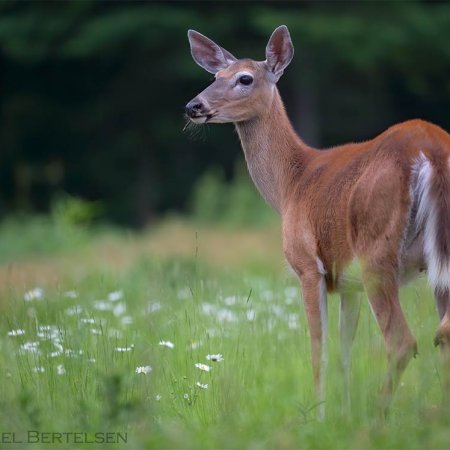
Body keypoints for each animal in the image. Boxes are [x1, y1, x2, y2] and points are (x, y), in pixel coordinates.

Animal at [185, 25, 450, 418]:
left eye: (244, 78)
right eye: (214, 77)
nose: (193, 106)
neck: (290, 185)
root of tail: (429, 149)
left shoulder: (309, 266)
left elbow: (317, 350)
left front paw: (319, 416)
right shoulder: (348, 283)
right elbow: (343, 353)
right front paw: (343, 413)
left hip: (377, 250)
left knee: (402, 342)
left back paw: (379, 419)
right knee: (442, 333)